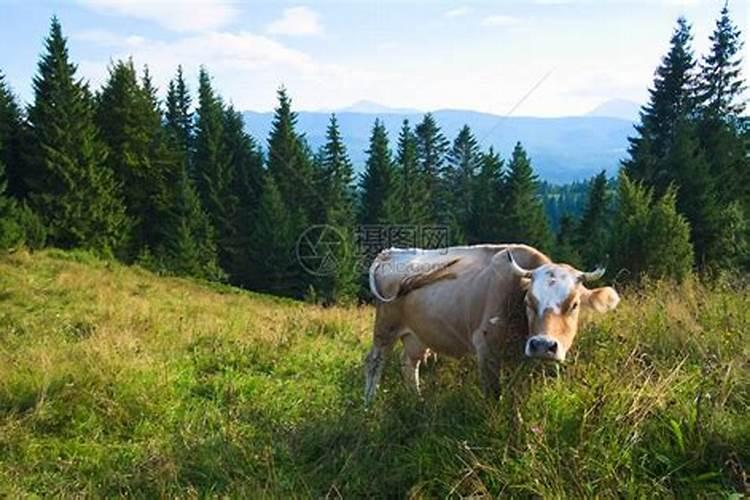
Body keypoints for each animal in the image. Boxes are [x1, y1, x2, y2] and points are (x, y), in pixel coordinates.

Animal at [366, 244, 624, 404]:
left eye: (574, 304)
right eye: (529, 302)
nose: (542, 345)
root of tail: (390, 252)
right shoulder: (486, 346)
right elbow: (493, 393)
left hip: (417, 335)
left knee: (409, 364)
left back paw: (417, 401)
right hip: (385, 327)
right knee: (374, 363)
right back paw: (369, 406)